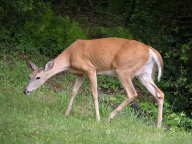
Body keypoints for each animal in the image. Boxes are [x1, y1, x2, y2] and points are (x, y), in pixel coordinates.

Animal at [23, 37, 164, 127]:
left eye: (38, 77)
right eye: (29, 75)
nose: (25, 91)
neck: (70, 57)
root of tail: (151, 51)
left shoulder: (90, 69)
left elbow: (94, 94)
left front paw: (97, 119)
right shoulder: (81, 74)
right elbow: (73, 91)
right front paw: (66, 113)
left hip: (124, 70)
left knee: (132, 93)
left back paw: (109, 117)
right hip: (144, 74)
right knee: (159, 94)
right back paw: (157, 127)